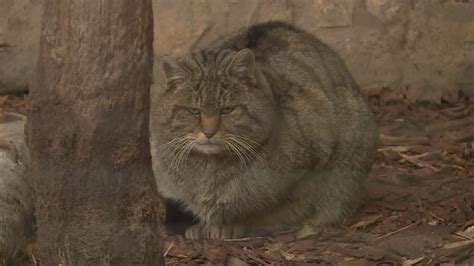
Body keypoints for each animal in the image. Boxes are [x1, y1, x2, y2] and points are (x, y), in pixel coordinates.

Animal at [149, 21, 378, 240]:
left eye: (227, 110)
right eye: (194, 110)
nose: (209, 132)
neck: (208, 170)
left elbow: (270, 210)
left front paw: (230, 225)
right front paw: (200, 226)